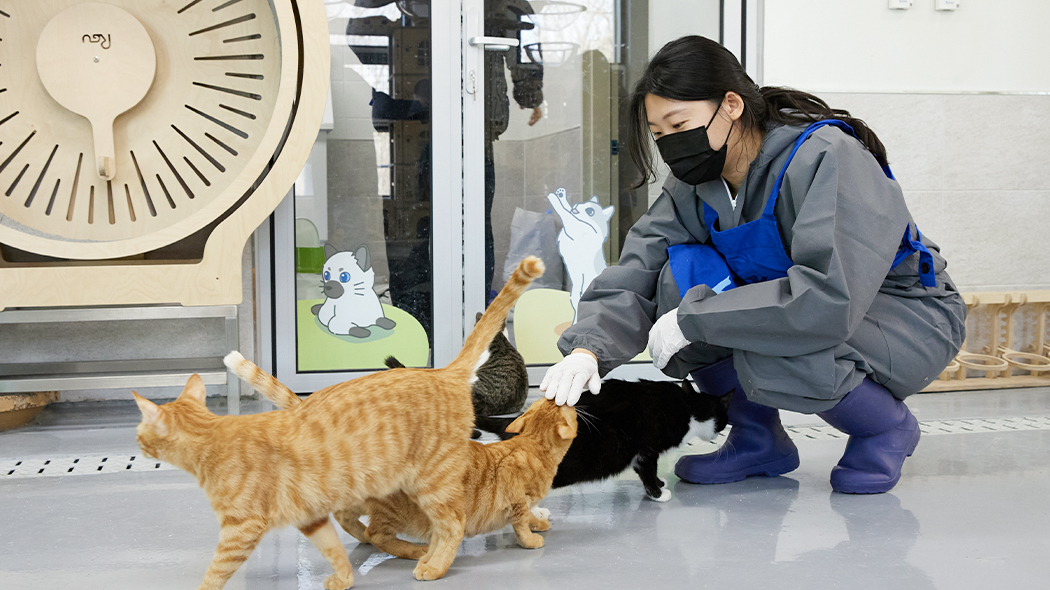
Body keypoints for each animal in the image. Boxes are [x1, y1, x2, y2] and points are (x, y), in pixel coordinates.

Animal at [133, 255, 545, 589]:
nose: (137, 444)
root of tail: (443, 372)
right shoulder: (307, 513)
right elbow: (332, 545)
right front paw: (345, 575)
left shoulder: (242, 526)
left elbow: (217, 569)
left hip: (430, 481)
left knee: (453, 524)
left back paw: (432, 563)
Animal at [475, 378, 731, 502]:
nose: (718, 434)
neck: (688, 407)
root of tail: (513, 420)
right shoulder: (647, 449)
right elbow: (647, 471)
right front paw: (658, 494)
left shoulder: (637, 453)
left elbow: (644, 471)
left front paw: (659, 484)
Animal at [546, 188, 615, 324]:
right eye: (580, 204)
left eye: (590, 211)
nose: (576, 206)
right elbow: (568, 210)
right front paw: (561, 195)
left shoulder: (576, 227)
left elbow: (565, 213)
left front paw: (554, 199)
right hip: (574, 295)